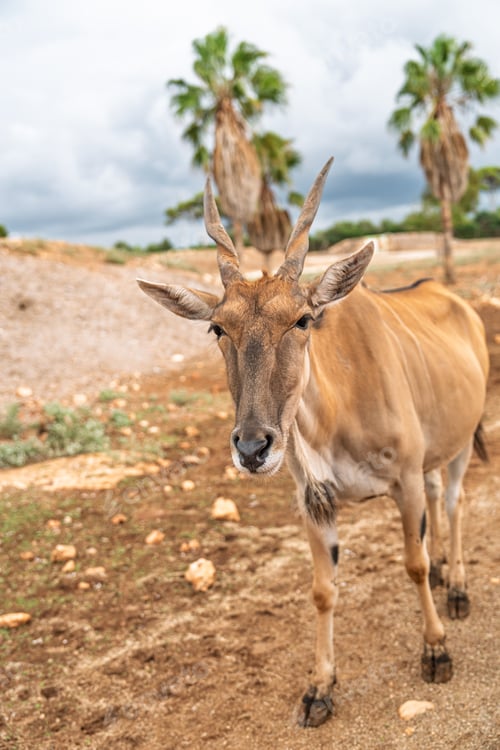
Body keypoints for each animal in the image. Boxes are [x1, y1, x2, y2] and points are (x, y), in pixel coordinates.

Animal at [137, 158, 489, 727]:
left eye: (302, 319)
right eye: (217, 328)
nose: (253, 448)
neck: (336, 417)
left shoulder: (404, 481)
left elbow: (410, 564)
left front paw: (436, 649)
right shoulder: (314, 503)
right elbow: (323, 590)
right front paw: (319, 688)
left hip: (460, 443)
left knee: (454, 501)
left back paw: (455, 587)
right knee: (440, 498)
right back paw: (442, 573)